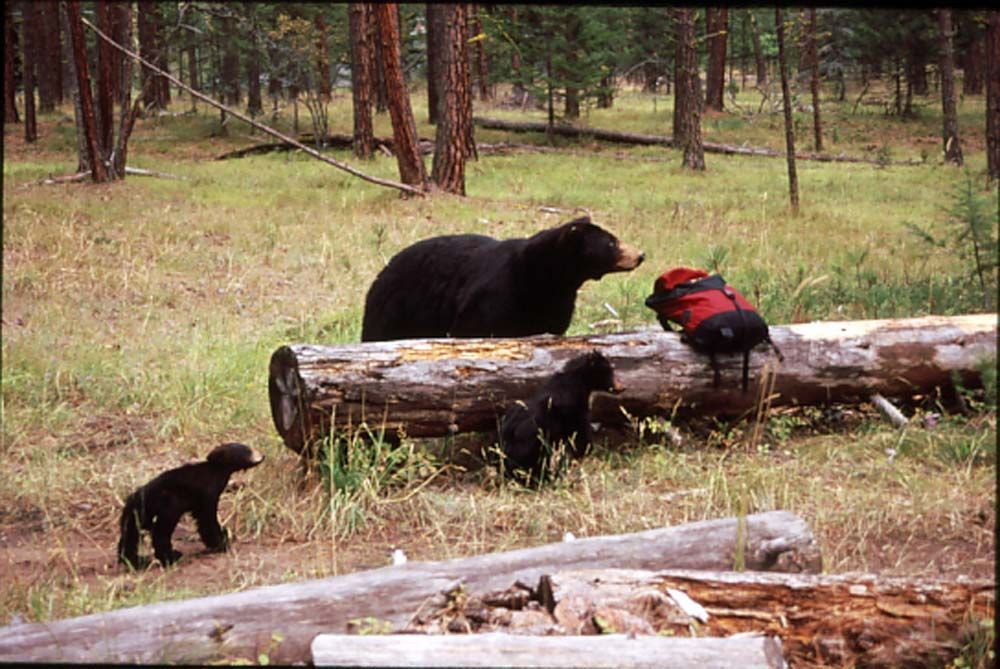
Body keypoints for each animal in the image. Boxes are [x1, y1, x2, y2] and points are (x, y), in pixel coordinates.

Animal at [117, 442, 265, 569]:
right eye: (248, 450)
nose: (263, 455)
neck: (216, 471)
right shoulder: (207, 495)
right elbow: (207, 520)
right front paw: (221, 543)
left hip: (138, 515)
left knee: (130, 536)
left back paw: (135, 561)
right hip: (167, 507)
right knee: (160, 534)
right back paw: (171, 557)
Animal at [360, 217, 644, 342]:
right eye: (611, 243)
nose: (641, 255)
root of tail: (384, 268)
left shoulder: (554, 304)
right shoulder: (496, 295)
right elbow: (472, 330)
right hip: (396, 308)